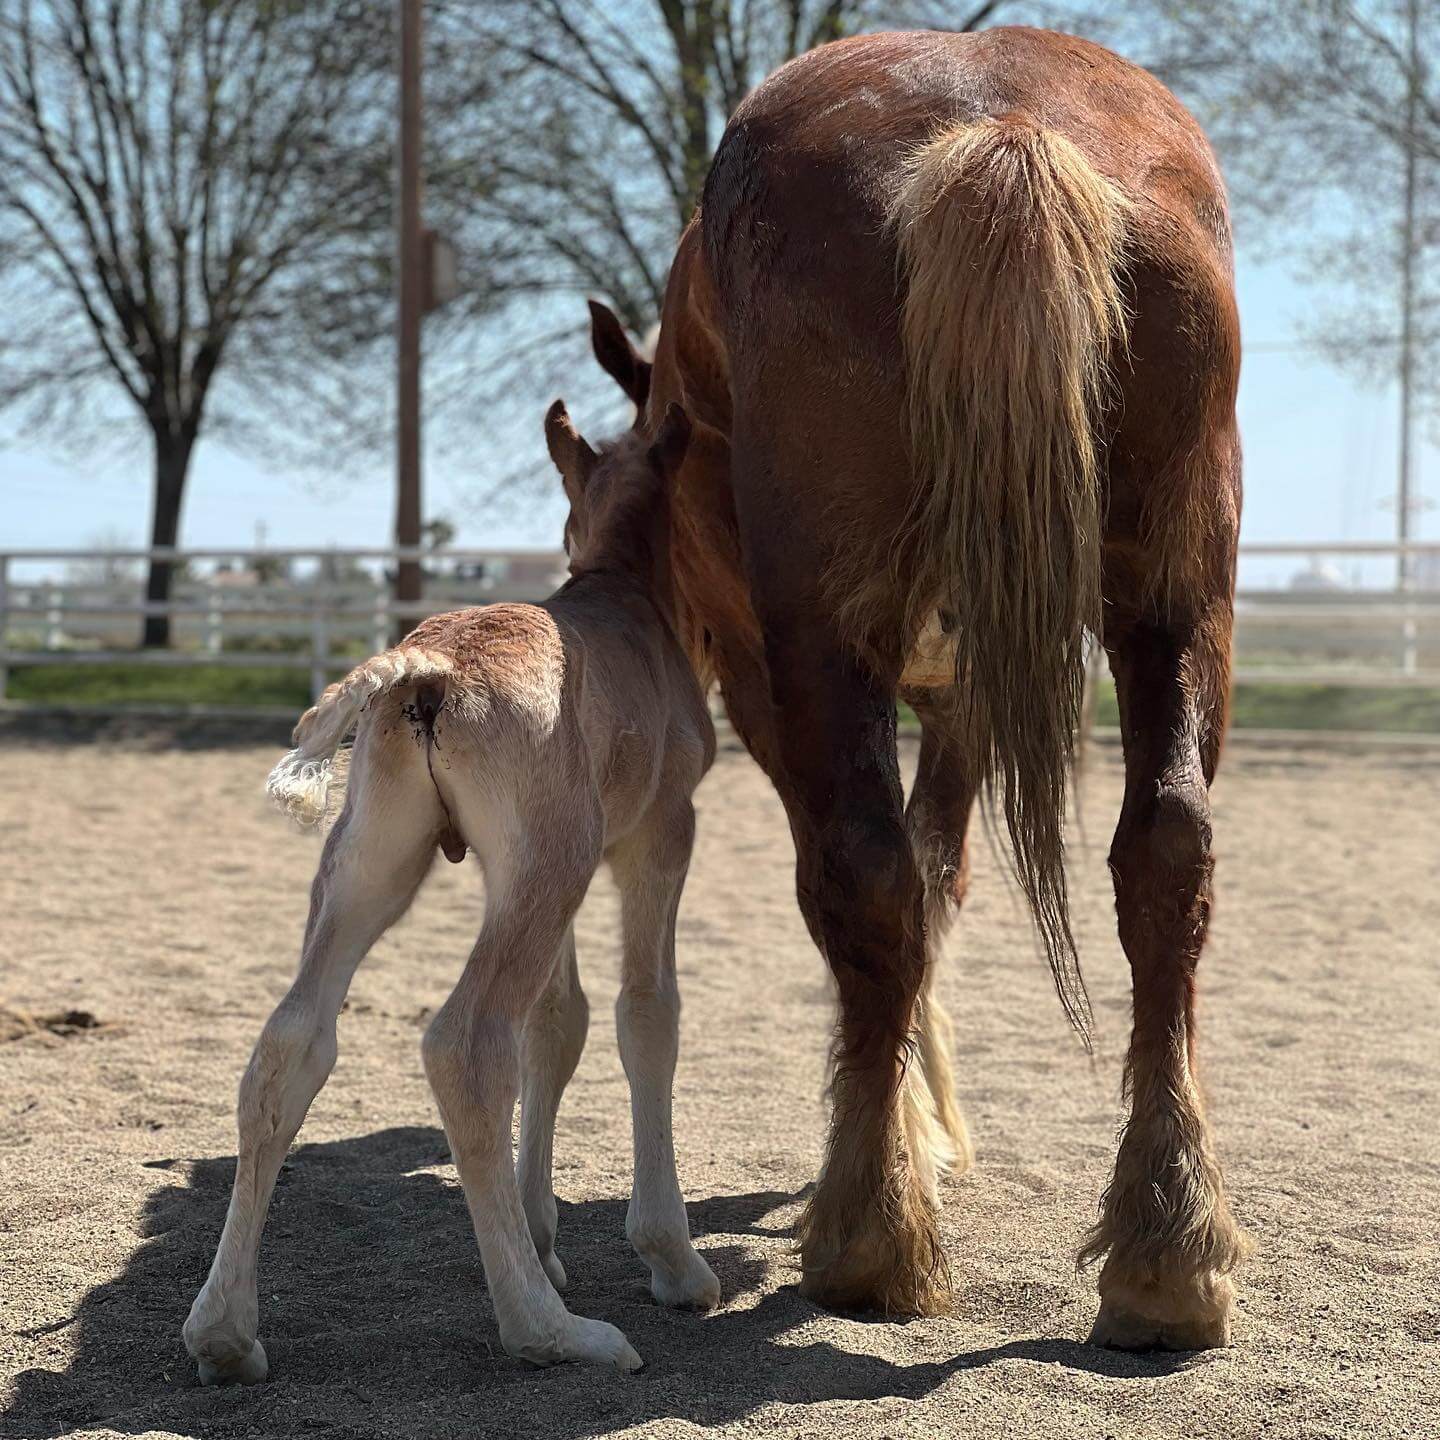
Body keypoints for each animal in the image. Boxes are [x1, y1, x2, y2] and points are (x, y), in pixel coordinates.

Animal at [588, 26, 1246, 1350]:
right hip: (1179, 598)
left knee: (863, 871)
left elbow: (870, 890)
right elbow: (942, 880)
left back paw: (866, 1235)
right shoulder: (965, 698)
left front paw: (902, 1134)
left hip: (822, 639)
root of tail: (1004, 127)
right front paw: (926, 1125)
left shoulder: (770, 678)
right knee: (1167, 854)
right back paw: (1167, 1251)